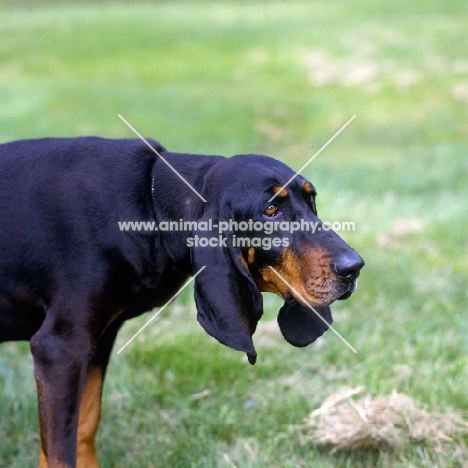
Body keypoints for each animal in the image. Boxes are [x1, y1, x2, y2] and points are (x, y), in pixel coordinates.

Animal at [0, 137, 364, 466]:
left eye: (311, 201)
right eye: (270, 210)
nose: (354, 267)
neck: (149, 202)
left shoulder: (97, 342)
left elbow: (85, 430)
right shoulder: (61, 348)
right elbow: (61, 454)